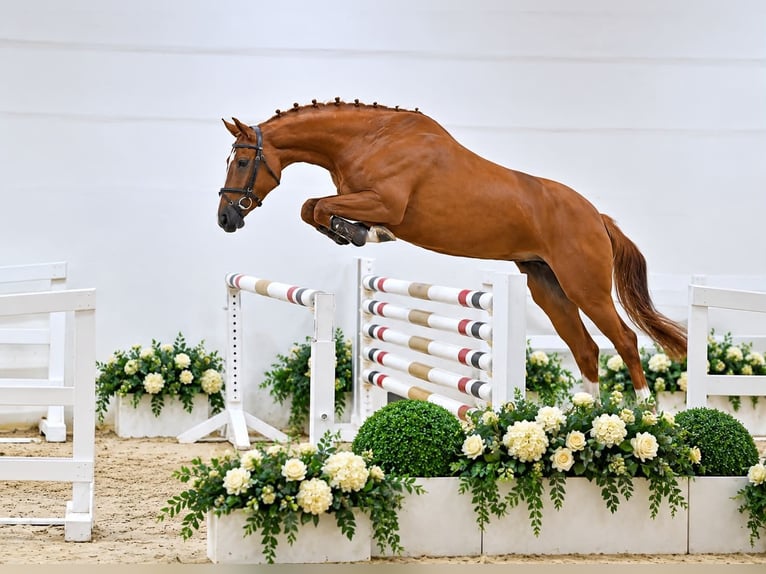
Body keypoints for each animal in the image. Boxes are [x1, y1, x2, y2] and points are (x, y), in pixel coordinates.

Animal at [217, 97, 687, 404]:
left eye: (240, 162)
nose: (226, 219)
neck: (370, 139)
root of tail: (597, 217)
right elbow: (311, 207)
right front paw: (354, 233)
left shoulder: (385, 202)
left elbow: (317, 206)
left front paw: (365, 233)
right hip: (547, 287)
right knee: (585, 348)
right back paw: (585, 419)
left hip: (585, 287)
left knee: (625, 340)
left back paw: (645, 416)